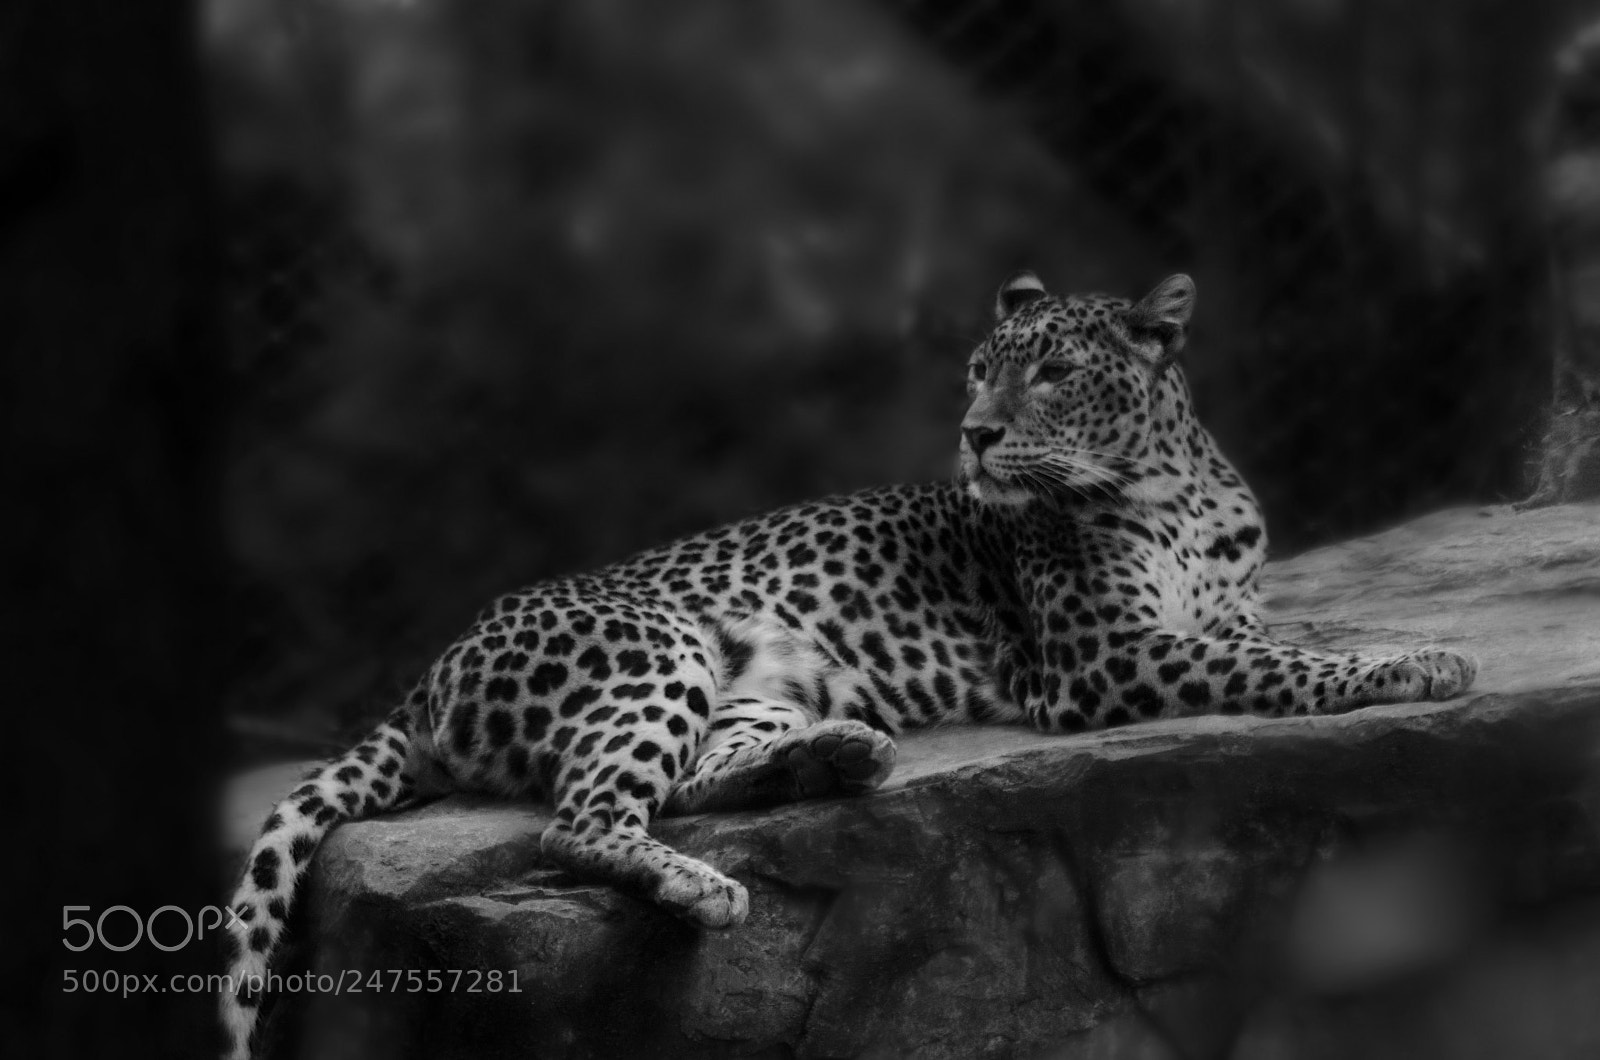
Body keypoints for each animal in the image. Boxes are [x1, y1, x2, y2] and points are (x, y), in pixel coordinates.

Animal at [222, 272, 1476, 1057]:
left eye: (1053, 372)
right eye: (977, 370)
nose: (974, 434)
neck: (1174, 485)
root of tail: (427, 674)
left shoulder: (1211, 620)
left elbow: (1274, 648)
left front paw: (1396, 653)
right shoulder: (1103, 657)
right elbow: (1281, 671)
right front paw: (1413, 664)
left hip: (755, 684)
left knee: (690, 778)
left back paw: (838, 759)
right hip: (655, 649)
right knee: (579, 823)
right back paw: (707, 884)